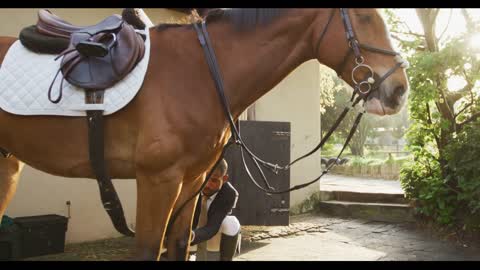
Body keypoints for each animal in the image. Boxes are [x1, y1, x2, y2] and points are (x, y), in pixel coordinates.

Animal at [0, 8, 408, 260]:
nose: (400, 89)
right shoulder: (158, 181)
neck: (198, 72)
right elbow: (150, 249)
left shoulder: (191, 181)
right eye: (364, 15)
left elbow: (180, 245)